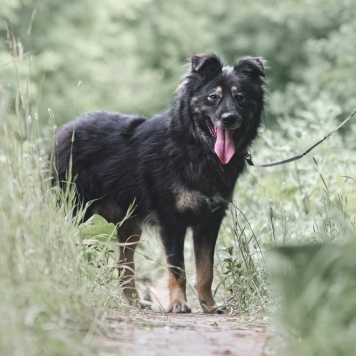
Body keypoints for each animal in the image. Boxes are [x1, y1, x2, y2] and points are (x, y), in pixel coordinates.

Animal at [52, 52, 264, 312]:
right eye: (213, 97)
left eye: (240, 97)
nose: (229, 118)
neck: (194, 147)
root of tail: (63, 133)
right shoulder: (172, 221)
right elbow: (178, 269)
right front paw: (179, 304)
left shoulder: (209, 221)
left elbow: (206, 270)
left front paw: (209, 305)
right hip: (76, 212)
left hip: (129, 226)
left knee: (124, 266)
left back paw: (135, 302)